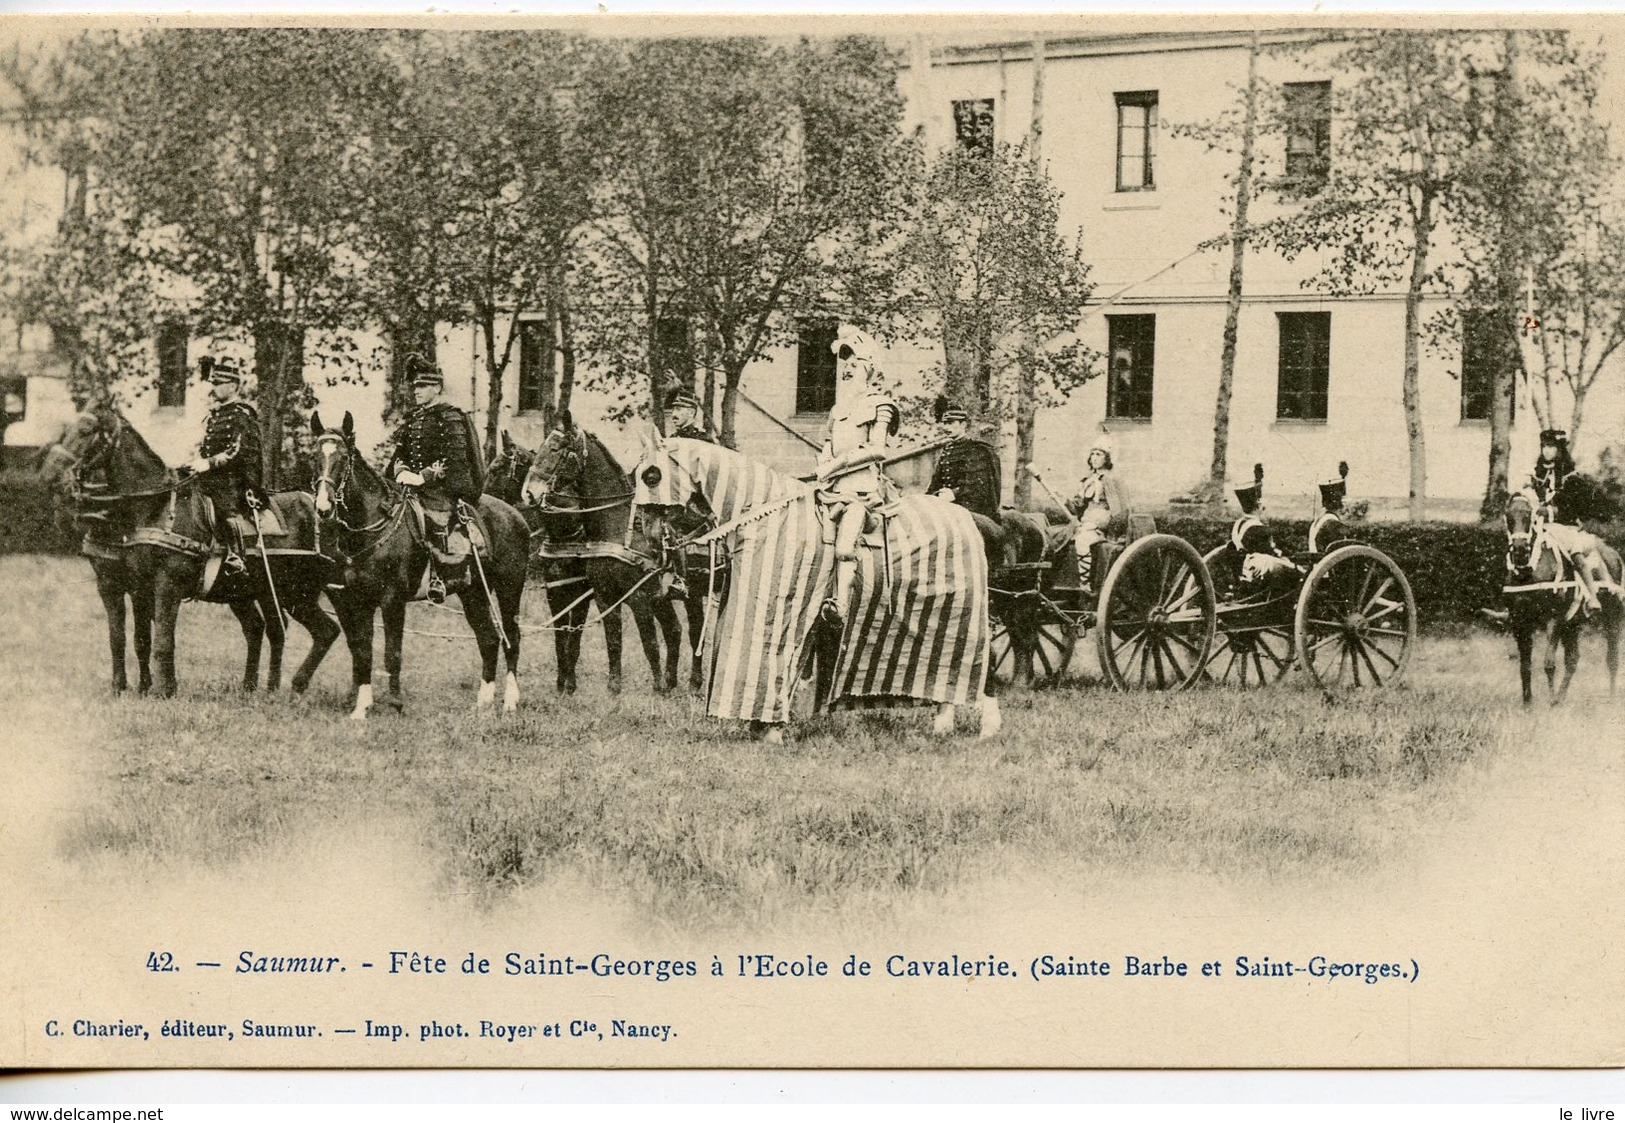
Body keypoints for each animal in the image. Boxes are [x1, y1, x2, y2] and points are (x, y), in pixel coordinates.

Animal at [49, 399, 339, 698]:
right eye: (66, 429)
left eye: (86, 431)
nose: (52, 474)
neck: (150, 508)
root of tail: (318, 508)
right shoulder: (127, 585)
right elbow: (128, 638)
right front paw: (131, 688)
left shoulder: (166, 584)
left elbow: (163, 639)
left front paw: (163, 691)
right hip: (252, 591)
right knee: (266, 629)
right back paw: (257, 688)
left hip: (294, 592)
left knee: (324, 630)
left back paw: (294, 686)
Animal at [308, 412, 526, 721]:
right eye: (315, 456)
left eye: (342, 458)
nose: (324, 507)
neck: (372, 526)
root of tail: (515, 514)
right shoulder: (357, 599)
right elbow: (362, 652)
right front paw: (361, 708)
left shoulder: (392, 600)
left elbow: (392, 653)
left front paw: (395, 704)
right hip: (473, 592)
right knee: (488, 638)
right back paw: (483, 703)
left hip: (509, 589)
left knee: (512, 638)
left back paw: (510, 701)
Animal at [516, 412, 689, 695]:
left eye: (555, 449)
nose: (529, 493)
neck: (615, 529)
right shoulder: (604, 596)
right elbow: (613, 640)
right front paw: (614, 688)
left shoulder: (638, 597)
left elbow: (649, 642)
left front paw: (655, 687)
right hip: (660, 598)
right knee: (674, 630)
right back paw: (671, 682)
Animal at [627, 432, 994, 747]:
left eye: (652, 476)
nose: (647, 536)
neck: (765, 517)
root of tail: (967, 519)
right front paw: (759, 727)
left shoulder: (780, 613)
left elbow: (770, 663)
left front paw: (771, 731)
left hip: (957, 624)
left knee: (960, 674)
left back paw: (959, 726)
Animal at [1501, 490, 1618, 702]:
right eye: (1509, 517)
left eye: (1528, 515)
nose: (1520, 549)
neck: (1530, 572)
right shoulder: (1520, 621)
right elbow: (1525, 666)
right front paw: (1528, 703)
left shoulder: (1554, 619)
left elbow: (1549, 663)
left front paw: (1550, 700)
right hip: (1573, 624)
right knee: (1573, 659)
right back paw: (1561, 698)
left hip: (1613, 618)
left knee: (1612, 659)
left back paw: (1611, 699)